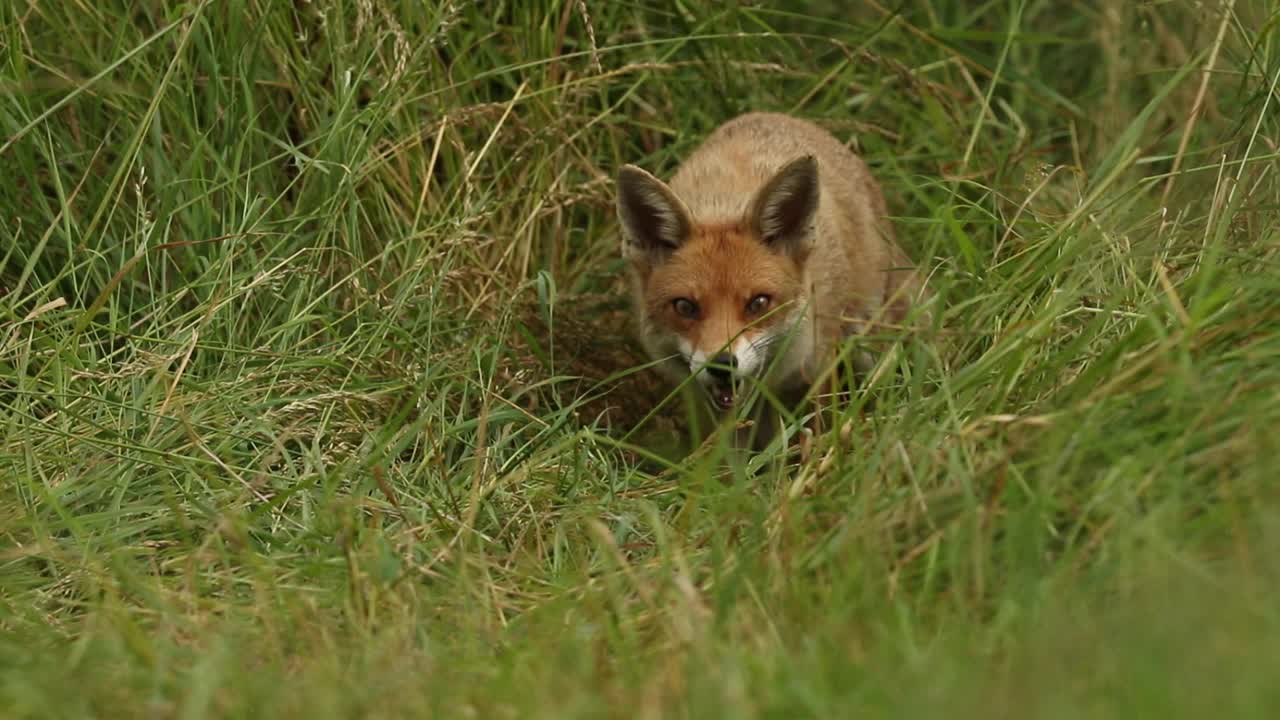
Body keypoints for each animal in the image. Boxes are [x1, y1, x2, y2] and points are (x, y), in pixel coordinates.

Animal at [614, 110, 926, 448]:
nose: (722, 365)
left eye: (759, 302)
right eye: (684, 306)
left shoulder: (817, 369)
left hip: (872, 342)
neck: (723, 204)